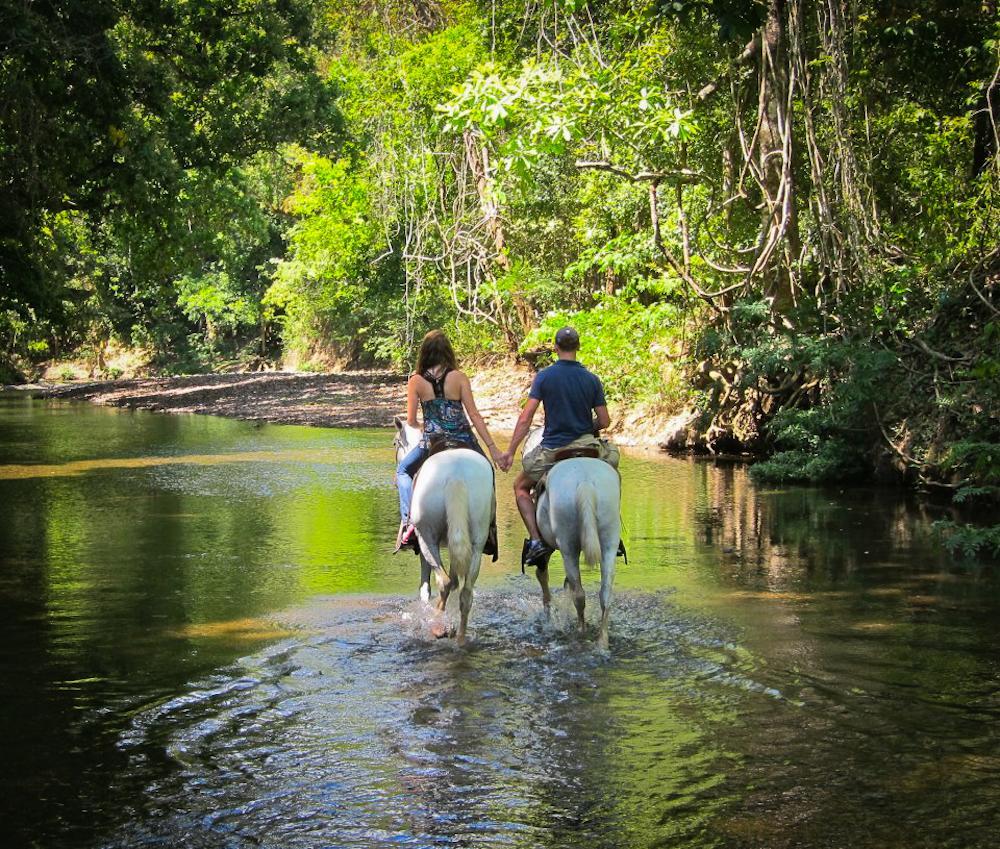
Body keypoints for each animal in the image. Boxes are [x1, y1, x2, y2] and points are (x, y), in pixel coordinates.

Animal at [394, 418, 496, 644]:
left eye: (394, 443)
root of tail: (455, 475)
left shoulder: (423, 548)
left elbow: (425, 588)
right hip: (477, 540)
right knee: (466, 592)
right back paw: (460, 638)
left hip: (427, 538)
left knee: (444, 582)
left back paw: (438, 626)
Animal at [528, 428, 620, 652]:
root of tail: (585, 480)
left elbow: (542, 575)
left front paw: (549, 615)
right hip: (609, 541)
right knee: (605, 593)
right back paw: (602, 641)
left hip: (567, 545)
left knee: (579, 593)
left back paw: (580, 632)